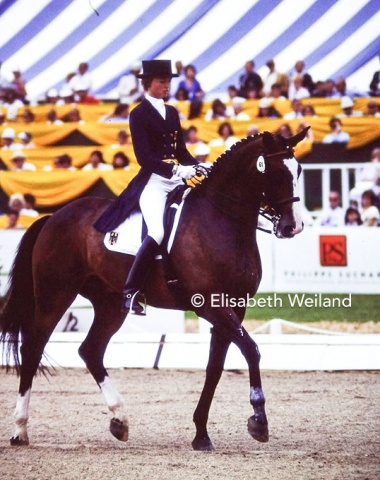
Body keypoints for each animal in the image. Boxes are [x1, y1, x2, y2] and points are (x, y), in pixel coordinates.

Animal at [0, 126, 308, 450]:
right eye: (274, 171)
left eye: (298, 170)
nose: (293, 227)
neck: (221, 220)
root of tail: (53, 217)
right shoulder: (210, 305)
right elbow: (251, 350)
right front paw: (258, 420)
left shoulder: (235, 308)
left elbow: (215, 367)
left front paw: (201, 434)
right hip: (54, 295)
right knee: (32, 348)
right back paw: (20, 430)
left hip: (110, 303)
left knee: (90, 350)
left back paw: (119, 420)